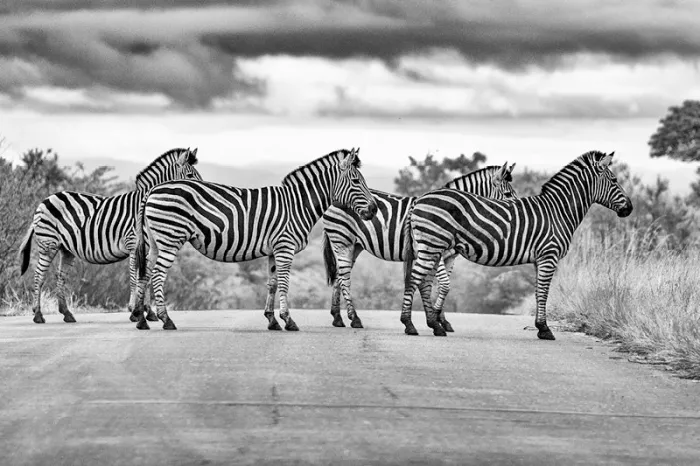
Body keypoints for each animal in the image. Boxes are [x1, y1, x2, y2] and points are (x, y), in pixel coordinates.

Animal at [18, 148, 201, 324]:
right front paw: (134, 311)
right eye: (190, 176)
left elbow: (146, 277)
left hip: (66, 249)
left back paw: (66, 313)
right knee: (39, 276)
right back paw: (38, 315)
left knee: (60, 277)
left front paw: (148, 312)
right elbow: (135, 277)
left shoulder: (147, 248)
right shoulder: (133, 243)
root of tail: (44, 200)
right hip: (48, 243)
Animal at [133, 148, 378, 331]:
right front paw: (288, 320)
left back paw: (142, 320)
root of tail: (152, 190)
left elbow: (272, 283)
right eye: (356, 180)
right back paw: (166, 320)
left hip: (155, 242)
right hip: (170, 238)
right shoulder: (285, 247)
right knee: (157, 275)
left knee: (146, 273)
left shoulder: (273, 250)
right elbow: (284, 283)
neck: (297, 205)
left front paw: (272, 320)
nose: (374, 209)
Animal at [322, 162, 517, 330]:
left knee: (340, 275)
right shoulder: (435, 251)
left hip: (354, 246)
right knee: (343, 276)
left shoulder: (448, 257)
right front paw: (435, 319)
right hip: (341, 239)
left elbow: (438, 286)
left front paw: (440, 320)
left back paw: (338, 318)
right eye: (508, 195)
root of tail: (333, 199)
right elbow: (443, 285)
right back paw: (354, 318)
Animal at [401, 150, 633, 338]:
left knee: (423, 281)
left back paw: (434, 326)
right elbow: (544, 292)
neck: (558, 211)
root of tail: (420, 199)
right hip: (432, 244)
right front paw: (545, 330)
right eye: (614, 180)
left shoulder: (540, 258)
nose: (629, 208)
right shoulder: (549, 255)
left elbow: (538, 292)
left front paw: (540, 327)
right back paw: (409, 325)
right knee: (414, 280)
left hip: (432, 247)